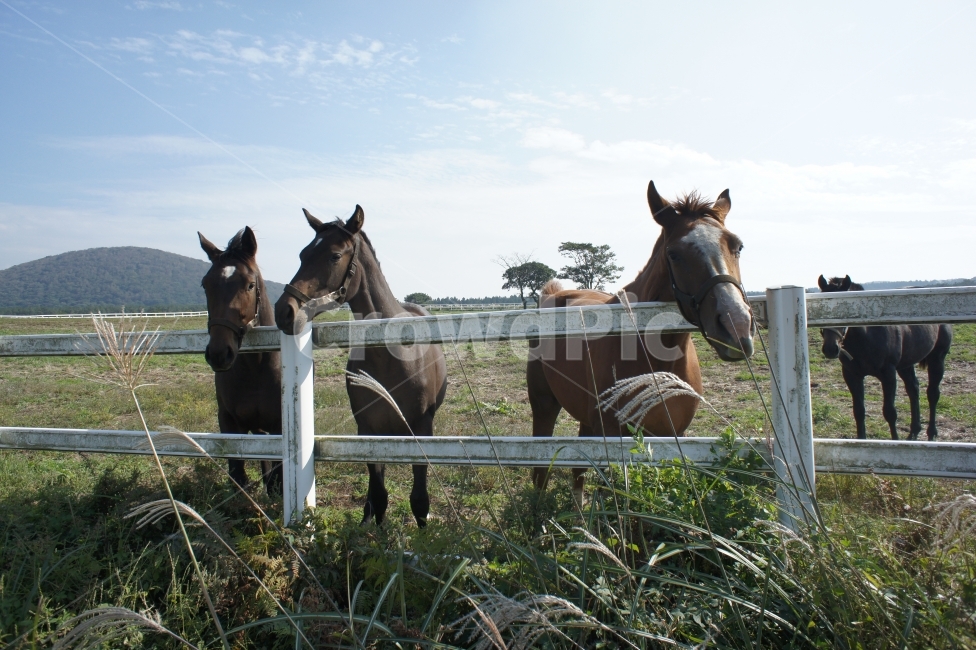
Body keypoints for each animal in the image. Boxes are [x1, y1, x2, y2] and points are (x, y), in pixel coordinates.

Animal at [198, 227, 283, 496]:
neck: (255, 369)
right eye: (205, 285)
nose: (218, 353)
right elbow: (237, 473)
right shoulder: (228, 421)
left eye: (250, 285)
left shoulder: (279, 424)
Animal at [274, 205, 447, 527]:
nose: (285, 311)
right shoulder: (367, 427)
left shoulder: (422, 427)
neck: (392, 355)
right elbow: (379, 495)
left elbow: (419, 499)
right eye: (303, 254)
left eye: (334, 255)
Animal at [528, 180, 756, 502]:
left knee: (578, 471)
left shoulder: (674, 434)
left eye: (737, 245)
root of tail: (553, 295)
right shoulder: (616, 437)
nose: (736, 326)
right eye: (674, 254)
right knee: (540, 468)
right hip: (544, 404)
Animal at [817, 275, 952, 440]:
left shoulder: (888, 374)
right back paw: (913, 432)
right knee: (913, 389)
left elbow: (890, 412)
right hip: (906, 365)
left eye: (846, 309)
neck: (867, 336)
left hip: (937, 359)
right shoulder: (851, 375)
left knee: (933, 394)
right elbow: (859, 411)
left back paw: (931, 433)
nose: (831, 349)